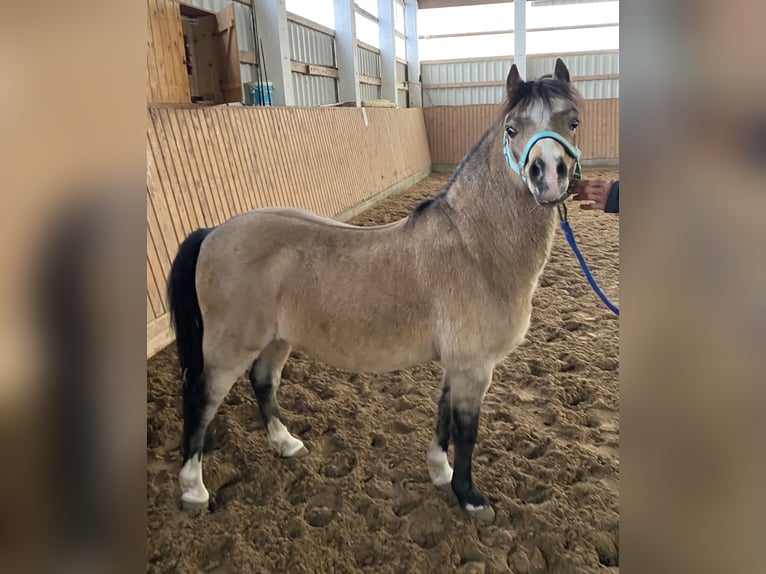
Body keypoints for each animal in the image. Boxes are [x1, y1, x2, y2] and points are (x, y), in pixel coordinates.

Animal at [167, 59, 583, 523]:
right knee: (202, 399)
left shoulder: (457, 365)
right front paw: (470, 496)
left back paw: (285, 443)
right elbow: (467, 431)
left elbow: (443, 417)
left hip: (276, 339)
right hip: (229, 348)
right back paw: (193, 489)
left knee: (263, 383)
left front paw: (440, 471)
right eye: (512, 128)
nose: (549, 176)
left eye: (573, 121)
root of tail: (213, 232)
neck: (473, 247)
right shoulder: (474, 367)